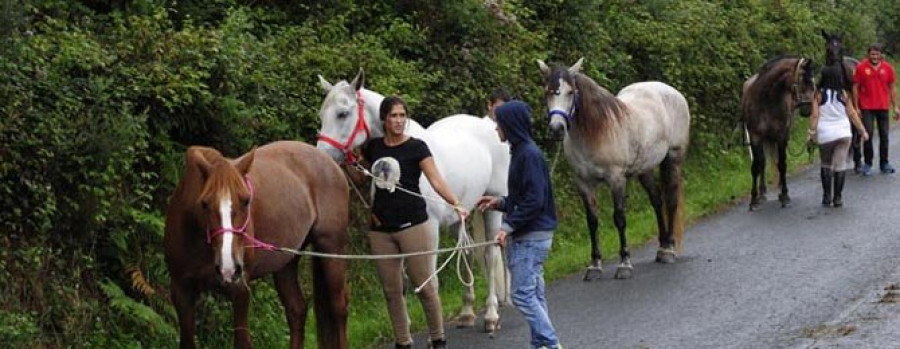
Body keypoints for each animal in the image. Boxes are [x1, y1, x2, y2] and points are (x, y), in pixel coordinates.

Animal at [163, 140, 350, 346]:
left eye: (246, 201)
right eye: (204, 203)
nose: (228, 268)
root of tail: (330, 161)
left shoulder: (240, 289)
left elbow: (242, 342)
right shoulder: (181, 291)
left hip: (331, 250)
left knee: (339, 307)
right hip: (286, 263)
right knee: (297, 310)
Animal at [316, 70, 512, 332]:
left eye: (343, 113)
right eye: (321, 115)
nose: (322, 156)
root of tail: (490, 125)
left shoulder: (429, 230)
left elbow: (430, 281)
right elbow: (402, 282)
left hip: (492, 208)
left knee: (490, 256)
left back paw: (490, 315)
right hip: (457, 216)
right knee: (468, 250)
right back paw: (467, 312)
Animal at [740, 55, 820, 209]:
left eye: (812, 80)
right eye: (803, 79)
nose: (808, 109)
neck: (766, 99)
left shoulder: (781, 136)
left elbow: (782, 164)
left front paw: (784, 195)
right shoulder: (755, 136)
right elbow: (756, 166)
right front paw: (753, 199)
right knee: (763, 162)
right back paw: (762, 193)